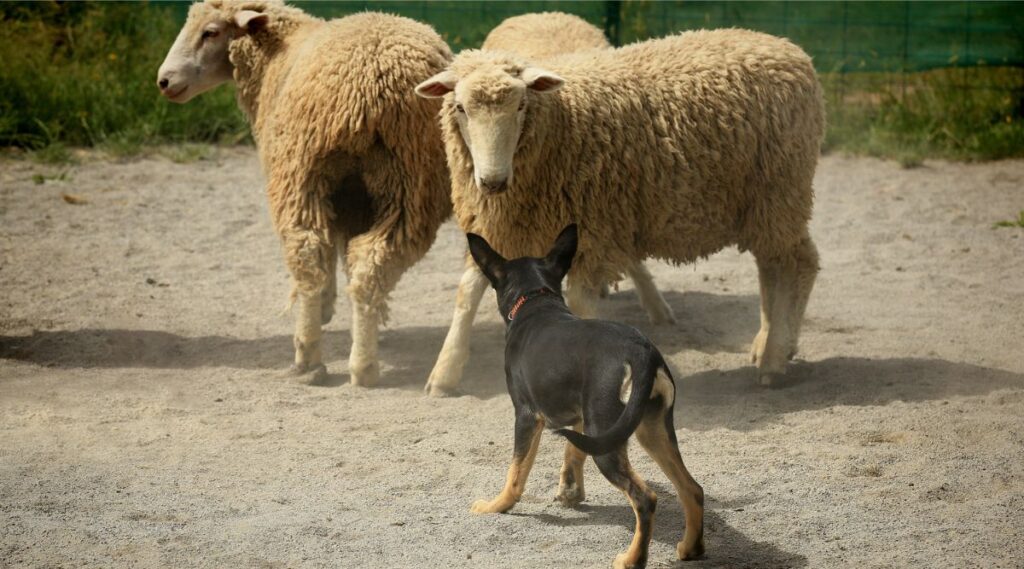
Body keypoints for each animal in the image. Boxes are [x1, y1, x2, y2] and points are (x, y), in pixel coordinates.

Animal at [157, 0, 453, 386]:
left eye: (211, 31)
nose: (164, 81)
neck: (274, 57)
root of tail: (366, 86)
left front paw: (328, 308)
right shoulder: (354, 200)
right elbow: (345, 257)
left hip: (300, 175)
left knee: (308, 255)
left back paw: (308, 357)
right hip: (407, 185)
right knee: (368, 264)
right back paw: (361, 365)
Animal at [417, 28, 824, 394]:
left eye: (520, 106)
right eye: (460, 108)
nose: (493, 181)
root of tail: (790, 49)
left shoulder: (592, 230)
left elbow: (580, 302)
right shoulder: (496, 224)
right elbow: (467, 292)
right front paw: (444, 373)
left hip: (781, 190)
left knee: (797, 264)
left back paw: (775, 358)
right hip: (761, 206)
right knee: (771, 268)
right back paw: (769, 343)